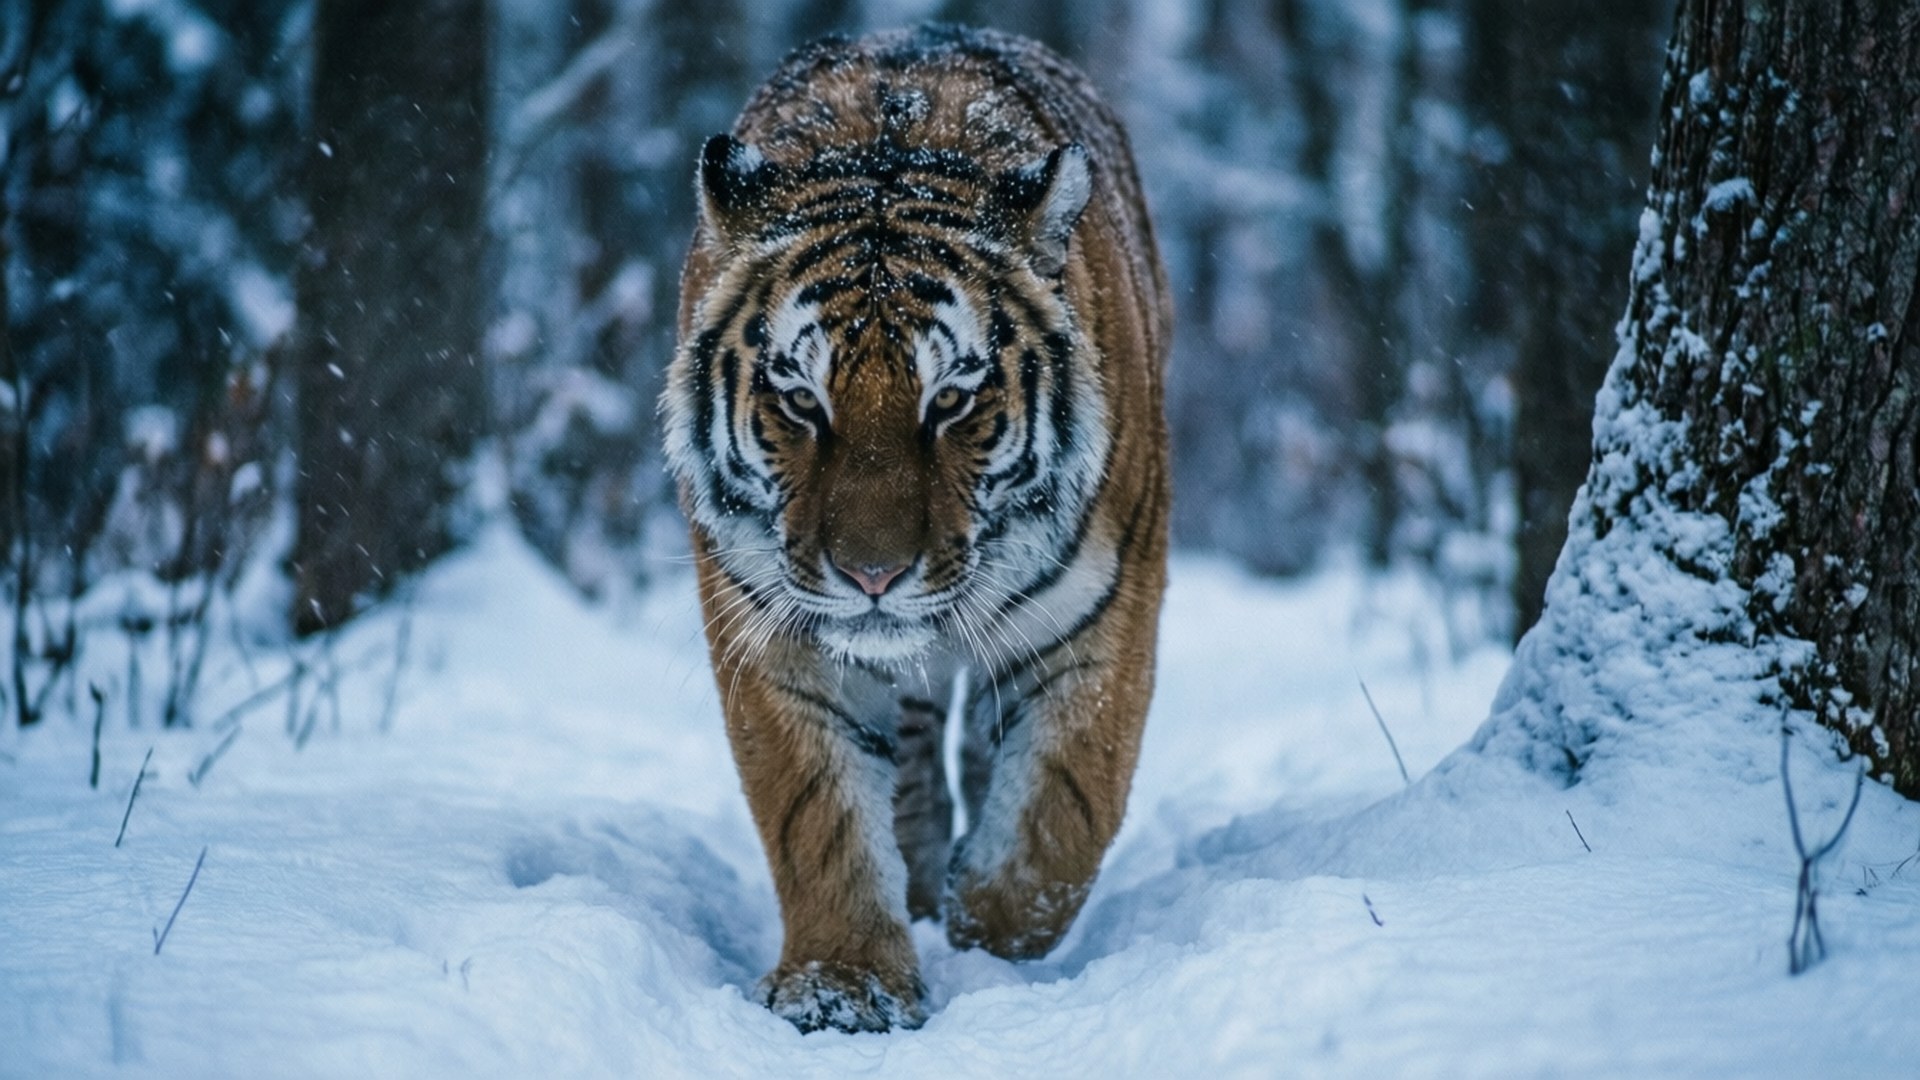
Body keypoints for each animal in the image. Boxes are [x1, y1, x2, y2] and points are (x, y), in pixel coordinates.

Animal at [662, 24, 1171, 1033]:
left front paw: (987, 936)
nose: (872, 577)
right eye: (800, 400)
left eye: (952, 401)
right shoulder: (772, 627)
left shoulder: (1102, 618)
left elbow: (1061, 812)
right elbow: (817, 811)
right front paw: (843, 985)